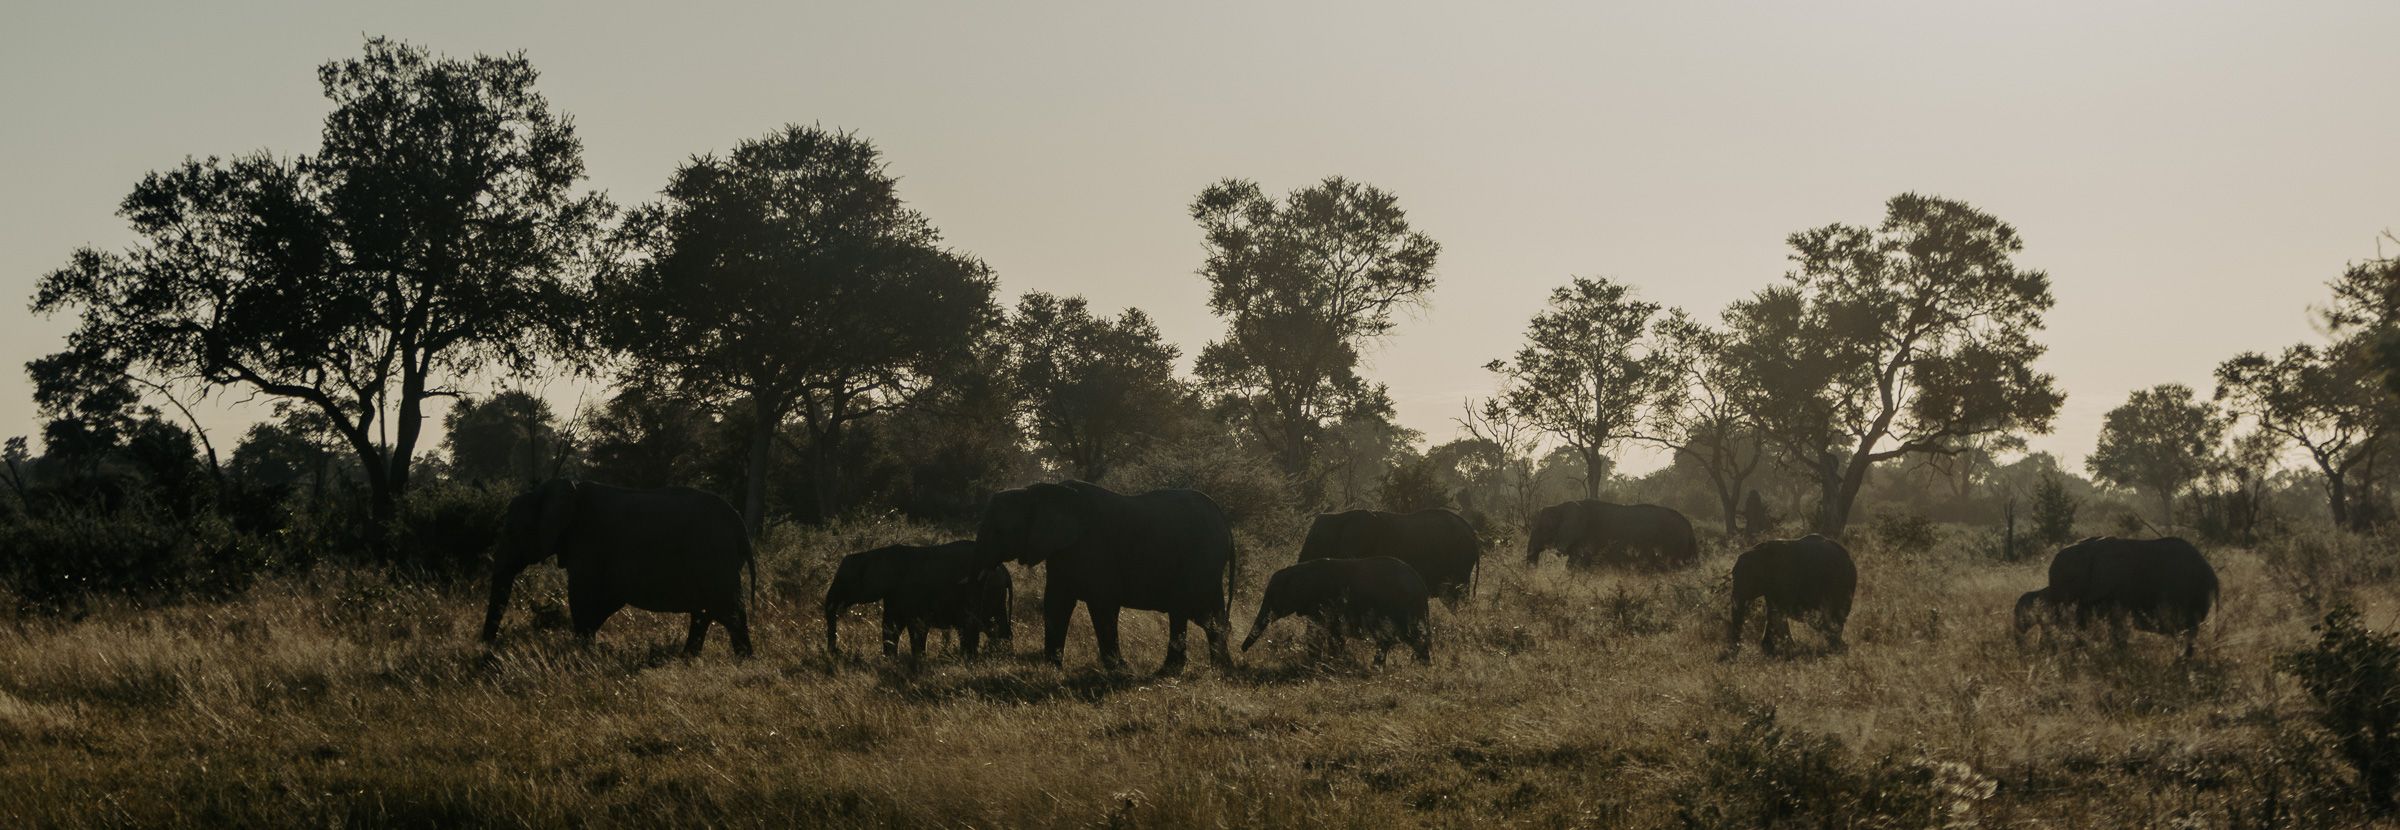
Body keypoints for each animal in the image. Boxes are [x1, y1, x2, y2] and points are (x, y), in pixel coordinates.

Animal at [481, 479, 754, 657]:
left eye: (512, 532)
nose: (488, 649)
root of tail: (741, 527)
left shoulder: (587, 542)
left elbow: (581, 595)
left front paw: (581, 655)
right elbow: (603, 601)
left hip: (715, 560)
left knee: (728, 612)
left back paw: (743, 660)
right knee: (707, 612)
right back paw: (690, 659)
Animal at [822, 541, 1012, 658]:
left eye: (842, 581)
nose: (836, 652)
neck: (874, 553)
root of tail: (1005, 571)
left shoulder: (910, 591)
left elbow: (916, 625)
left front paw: (918, 659)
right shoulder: (893, 593)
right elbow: (890, 625)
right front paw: (890, 660)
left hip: (986, 591)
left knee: (973, 625)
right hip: (995, 595)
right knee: (996, 626)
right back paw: (999, 654)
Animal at [975, 480, 1234, 673]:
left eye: (998, 531)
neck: (1035, 492)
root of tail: (1224, 519)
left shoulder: (1094, 547)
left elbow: (1104, 602)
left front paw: (1121, 671)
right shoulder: (1062, 550)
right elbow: (1056, 604)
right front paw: (1052, 669)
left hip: (1200, 556)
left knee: (1182, 609)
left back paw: (1170, 671)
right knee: (1211, 616)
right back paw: (1221, 671)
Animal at [1241, 557, 1432, 666]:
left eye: (1272, 597)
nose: (1242, 650)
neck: (1300, 570)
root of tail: (1422, 585)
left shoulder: (1326, 601)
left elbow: (1320, 633)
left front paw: (1318, 662)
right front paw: (1330, 661)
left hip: (1406, 608)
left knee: (1414, 638)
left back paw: (1422, 668)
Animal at [1724, 535, 1857, 658]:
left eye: (1753, 579)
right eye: (1734, 576)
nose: (1734, 654)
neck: (1758, 552)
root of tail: (1849, 558)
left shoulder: (1784, 578)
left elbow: (1777, 612)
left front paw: (1782, 649)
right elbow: (1774, 612)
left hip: (1842, 585)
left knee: (1829, 619)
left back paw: (1838, 648)